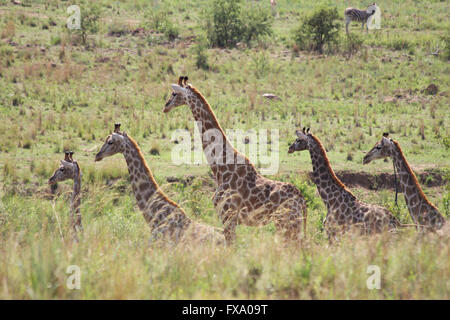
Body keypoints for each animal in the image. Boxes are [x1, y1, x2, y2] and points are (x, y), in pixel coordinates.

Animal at [163, 76, 308, 244]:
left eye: (174, 93)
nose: (165, 107)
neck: (221, 168)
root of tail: (302, 200)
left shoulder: (228, 216)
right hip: (291, 223)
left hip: (287, 223)